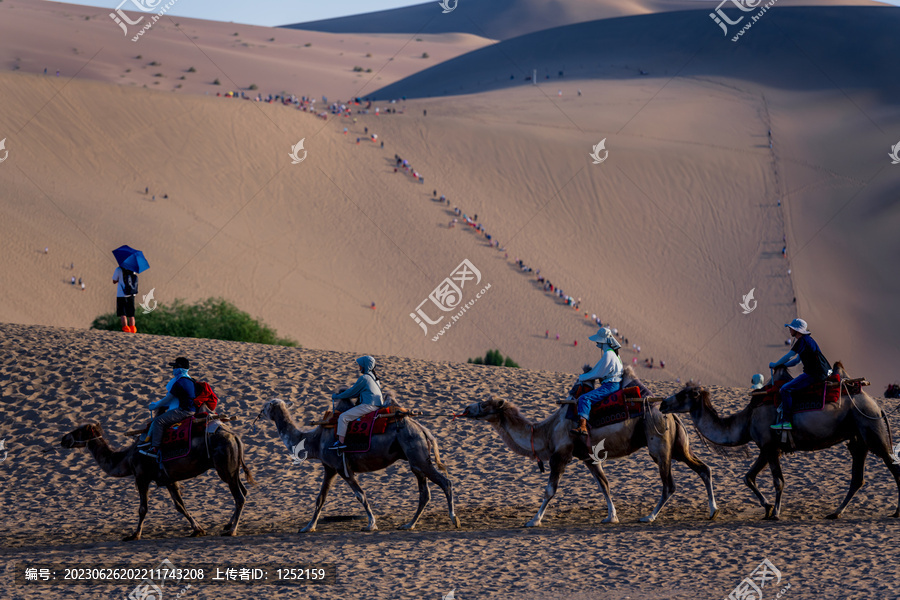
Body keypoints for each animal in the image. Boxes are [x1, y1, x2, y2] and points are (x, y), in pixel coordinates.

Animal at [59, 420, 256, 540]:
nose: (63, 439)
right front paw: (197, 529)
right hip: (232, 468)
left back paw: (232, 530)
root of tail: (235, 437)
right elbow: (180, 506)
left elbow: (142, 509)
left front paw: (134, 535)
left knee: (239, 496)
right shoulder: (169, 479)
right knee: (243, 491)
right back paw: (228, 525)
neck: (127, 459)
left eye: (78, 430)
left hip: (225, 467)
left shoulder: (142, 477)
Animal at [258, 396, 458, 532]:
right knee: (425, 493)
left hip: (418, 454)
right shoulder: (329, 468)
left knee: (445, 482)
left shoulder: (342, 468)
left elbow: (360, 495)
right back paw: (409, 524)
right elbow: (320, 498)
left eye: (267, 405)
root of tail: (423, 429)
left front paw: (371, 524)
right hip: (415, 460)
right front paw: (308, 527)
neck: (313, 440)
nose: (259, 413)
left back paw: (454, 519)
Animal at [458, 366, 716, 524]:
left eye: (485, 404)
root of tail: (670, 414)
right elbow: (604, 485)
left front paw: (533, 520)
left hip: (658, 445)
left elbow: (550, 490)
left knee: (669, 484)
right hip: (679, 447)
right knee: (704, 468)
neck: (546, 432)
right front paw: (611, 517)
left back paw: (649, 517)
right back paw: (713, 511)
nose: (467, 408)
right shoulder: (588, 457)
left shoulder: (560, 455)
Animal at [660, 360, 900, 520]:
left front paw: (775, 512)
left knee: (893, 467)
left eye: (684, 394)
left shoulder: (770, 447)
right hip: (858, 439)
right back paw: (835, 513)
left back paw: (896, 512)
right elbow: (748, 477)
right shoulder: (766, 448)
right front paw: (766, 508)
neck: (747, 419)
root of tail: (877, 407)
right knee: (857, 478)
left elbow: (778, 481)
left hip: (871, 429)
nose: (662, 403)